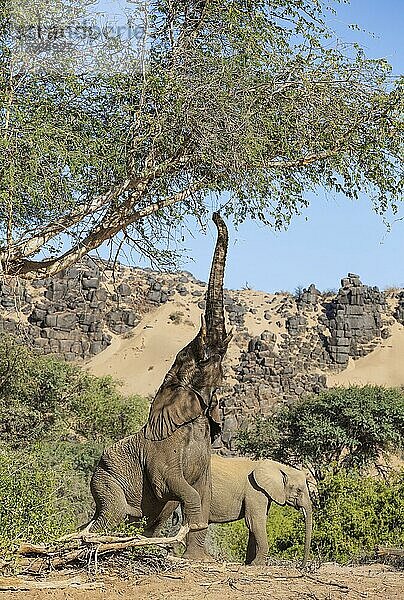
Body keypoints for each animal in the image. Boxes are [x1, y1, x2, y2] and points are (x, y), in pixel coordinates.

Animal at [82, 213, 232, 560]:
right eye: (196, 355)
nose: (216, 215)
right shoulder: (162, 451)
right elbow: (177, 487)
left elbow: (202, 493)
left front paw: (198, 560)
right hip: (105, 480)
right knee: (110, 516)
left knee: (151, 520)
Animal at [153, 454, 318, 568]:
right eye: (298, 490)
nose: (301, 566)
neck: (279, 467)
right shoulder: (255, 490)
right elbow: (254, 522)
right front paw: (257, 565)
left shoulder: (261, 493)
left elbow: (255, 525)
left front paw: (249, 563)